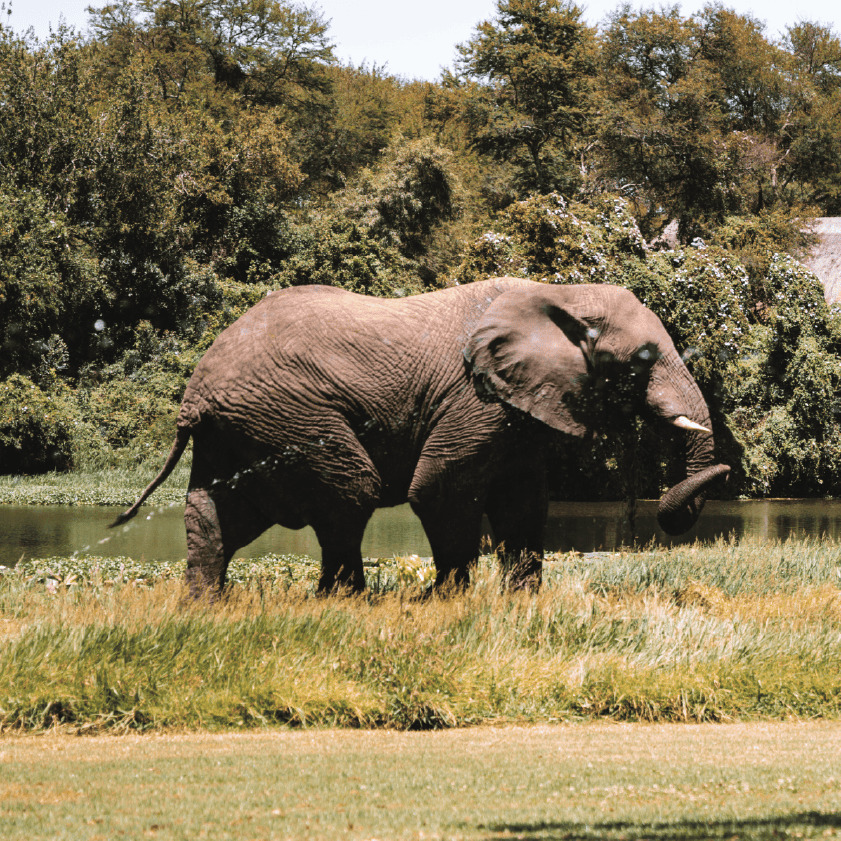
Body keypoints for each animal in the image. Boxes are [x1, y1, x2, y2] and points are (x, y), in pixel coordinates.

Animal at [113, 277, 730, 595]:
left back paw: (205, 610)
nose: (726, 468)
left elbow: (524, 503)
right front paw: (446, 603)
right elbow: (440, 489)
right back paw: (345, 604)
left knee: (215, 513)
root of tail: (195, 393)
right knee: (351, 493)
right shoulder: (473, 399)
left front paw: (522, 605)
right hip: (288, 412)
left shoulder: (521, 410)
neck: (561, 293)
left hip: (239, 427)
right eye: (643, 360)